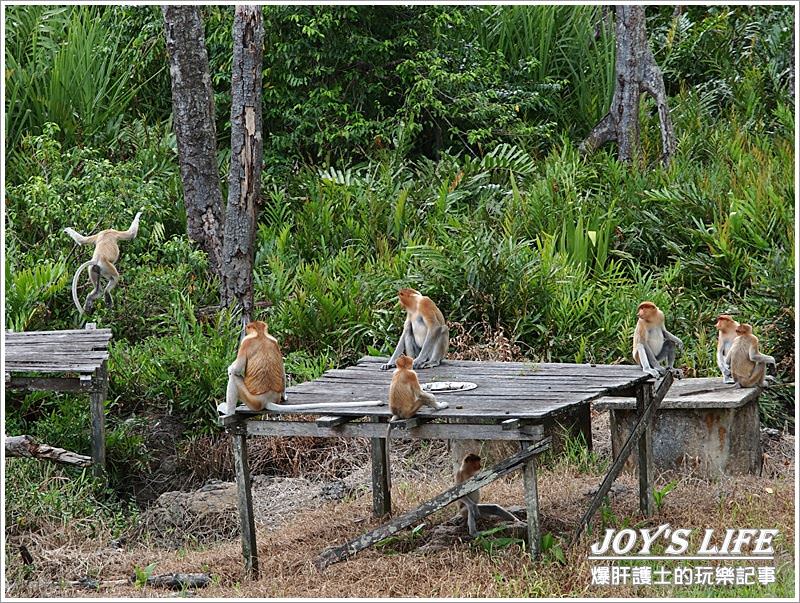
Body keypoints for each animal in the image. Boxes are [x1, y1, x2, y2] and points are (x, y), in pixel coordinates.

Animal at [222, 320, 384, 416]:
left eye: (248, 329)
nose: (245, 329)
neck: (260, 334)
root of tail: (267, 399)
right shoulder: (275, 341)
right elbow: (282, 369)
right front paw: (286, 395)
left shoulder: (245, 343)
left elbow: (234, 370)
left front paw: (230, 370)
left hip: (252, 401)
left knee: (234, 378)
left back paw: (228, 412)